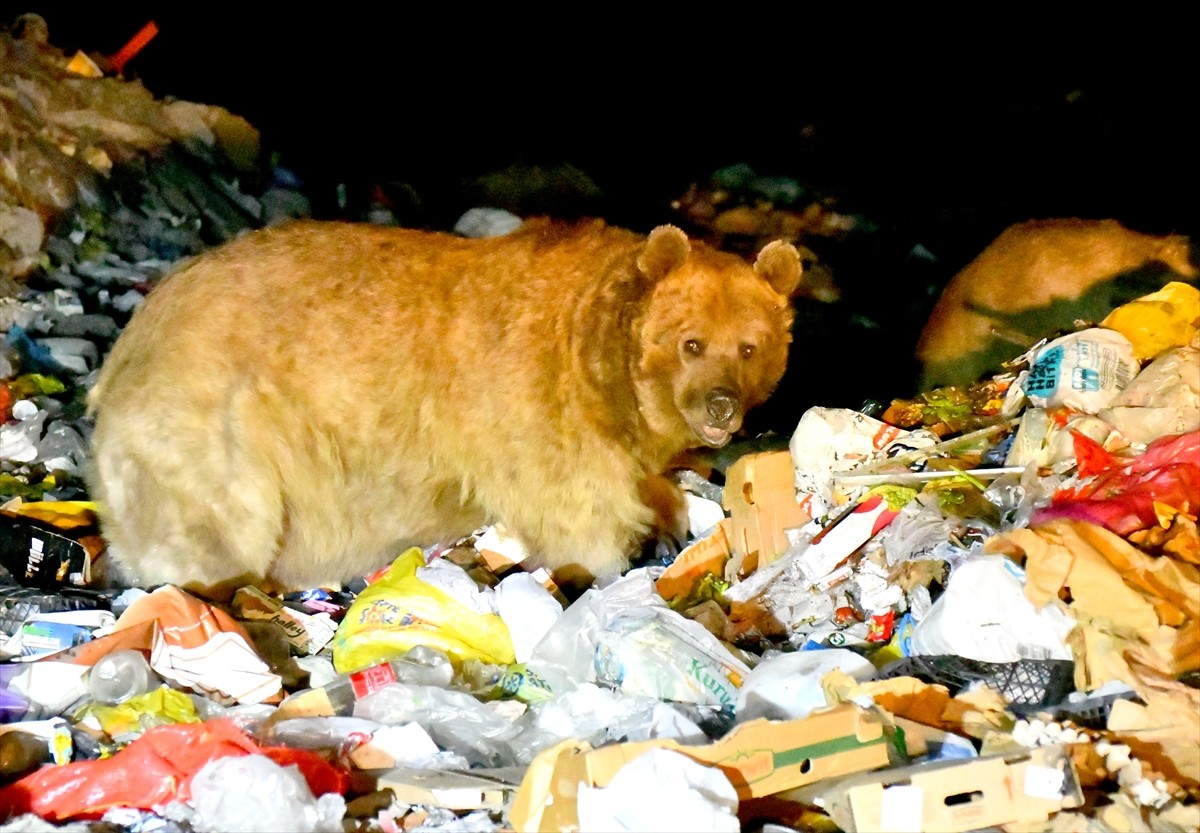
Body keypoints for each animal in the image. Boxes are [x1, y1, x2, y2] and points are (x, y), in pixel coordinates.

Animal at [82, 218, 796, 600]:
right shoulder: (535, 401)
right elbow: (576, 507)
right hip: (217, 413)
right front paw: (607, 565)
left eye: (750, 345)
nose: (722, 404)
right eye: (691, 342)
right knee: (218, 516)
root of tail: (131, 337)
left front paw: (672, 517)